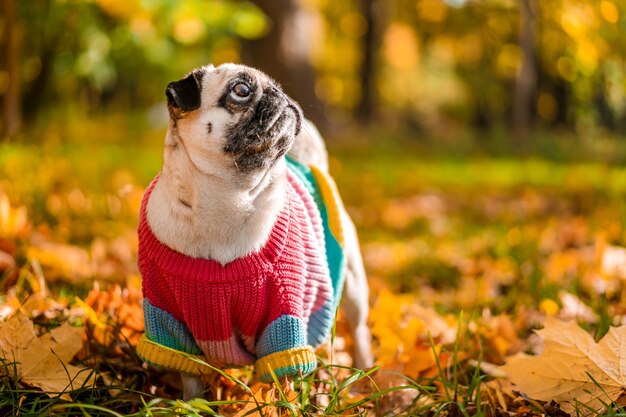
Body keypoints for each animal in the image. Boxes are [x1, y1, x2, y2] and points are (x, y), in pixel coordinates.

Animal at [136, 63, 370, 398]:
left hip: (353, 285)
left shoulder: (282, 318)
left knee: (359, 330)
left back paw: (362, 376)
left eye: (277, 87)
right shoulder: (166, 317)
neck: (228, 200)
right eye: (242, 91)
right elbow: (189, 375)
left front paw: (277, 403)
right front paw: (190, 404)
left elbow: (281, 378)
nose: (280, 95)